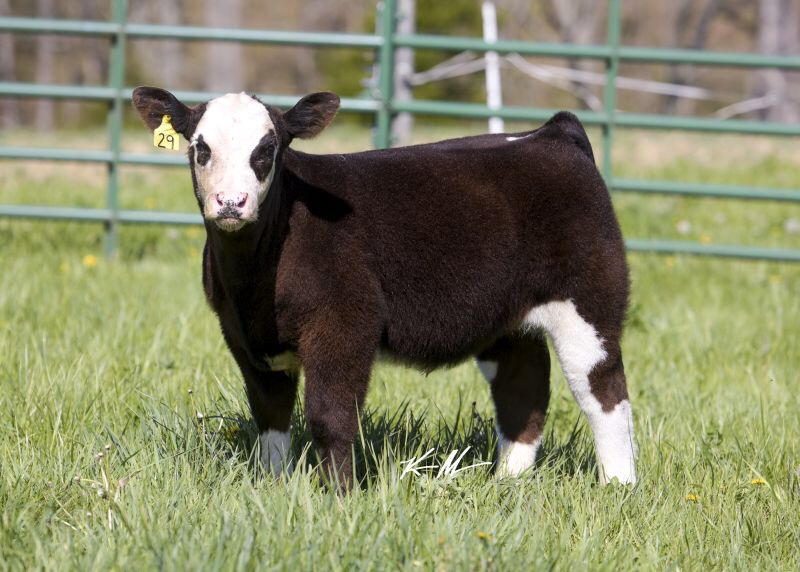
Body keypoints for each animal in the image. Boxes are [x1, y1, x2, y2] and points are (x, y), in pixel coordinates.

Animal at [132, 87, 637, 490]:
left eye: (268, 148)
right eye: (201, 147)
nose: (231, 203)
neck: (253, 278)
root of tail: (551, 133)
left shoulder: (344, 325)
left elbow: (330, 417)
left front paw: (338, 496)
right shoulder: (244, 338)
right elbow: (270, 416)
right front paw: (272, 488)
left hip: (590, 301)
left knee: (604, 391)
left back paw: (618, 487)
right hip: (506, 320)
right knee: (523, 391)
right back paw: (506, 482)